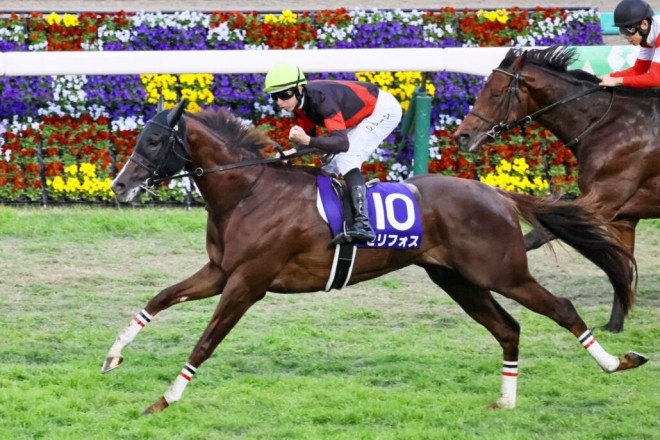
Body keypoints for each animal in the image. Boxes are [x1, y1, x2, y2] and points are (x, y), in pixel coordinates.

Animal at [104, 99, 647, 415]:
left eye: (155, 139)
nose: (120, 186)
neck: (250, 191)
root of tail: (495, 193)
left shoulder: (247, 283)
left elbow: (205, 342)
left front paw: (165, 398)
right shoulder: (220, 272)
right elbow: (158, 299)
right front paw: (114, 355)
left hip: (503, 271)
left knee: (562, 309)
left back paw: (619, 362)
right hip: (457, 279)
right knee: (508, 328)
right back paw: (506, 400)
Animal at [453, 45, 660, 333]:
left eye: (495, 93)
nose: (462, 137)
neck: (606, 125)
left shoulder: (602, 202)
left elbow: (537, 235)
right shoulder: (624, 216)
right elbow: (623, 264)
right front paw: (615, 324)